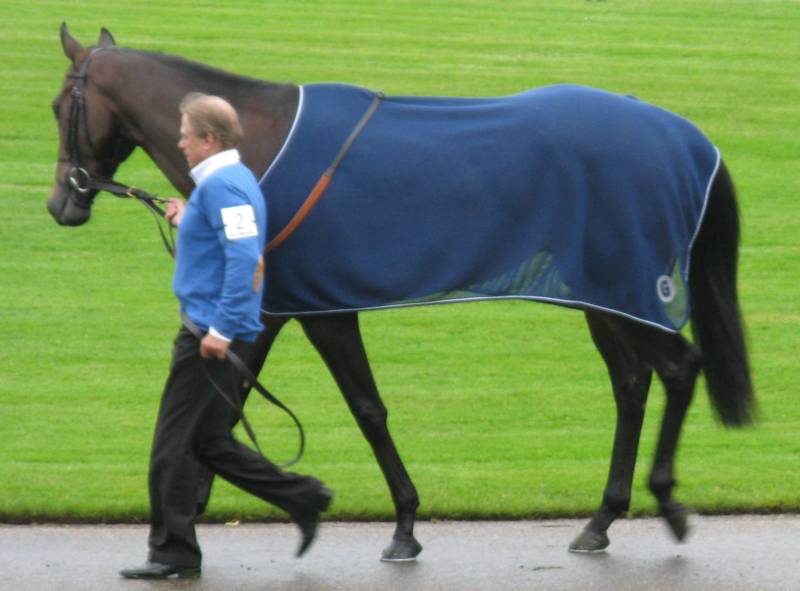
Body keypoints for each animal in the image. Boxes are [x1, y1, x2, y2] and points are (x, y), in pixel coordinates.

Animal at [48, 24, 755, 561]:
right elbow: (225, 412)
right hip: (601, 296)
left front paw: (402, 524)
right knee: (633, 385)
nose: (62, 204)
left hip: (631, 293)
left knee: (680, 368)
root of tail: (685, 137)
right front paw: (192, 512)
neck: (256, 144)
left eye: (59, 107)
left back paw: (667, 501)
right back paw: (602, 518)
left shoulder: (313, 312)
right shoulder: (273, 311)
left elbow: (363, 409)